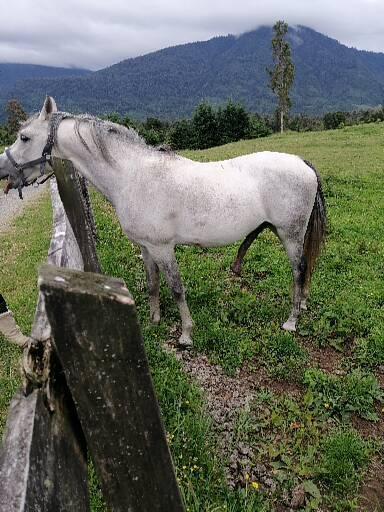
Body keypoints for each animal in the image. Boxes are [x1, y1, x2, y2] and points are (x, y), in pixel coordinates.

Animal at [0, 97, 326, 344]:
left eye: (24, 137)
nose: (3, 169)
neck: (132, 176)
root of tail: (303, 164)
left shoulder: (163, 248)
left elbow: (176, 288)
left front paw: (186, 334)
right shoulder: (146, 247)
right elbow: (153, 284)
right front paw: (155, 319)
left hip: (290, 235)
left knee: (299, 270)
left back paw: (292, 321)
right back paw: (303, 304)